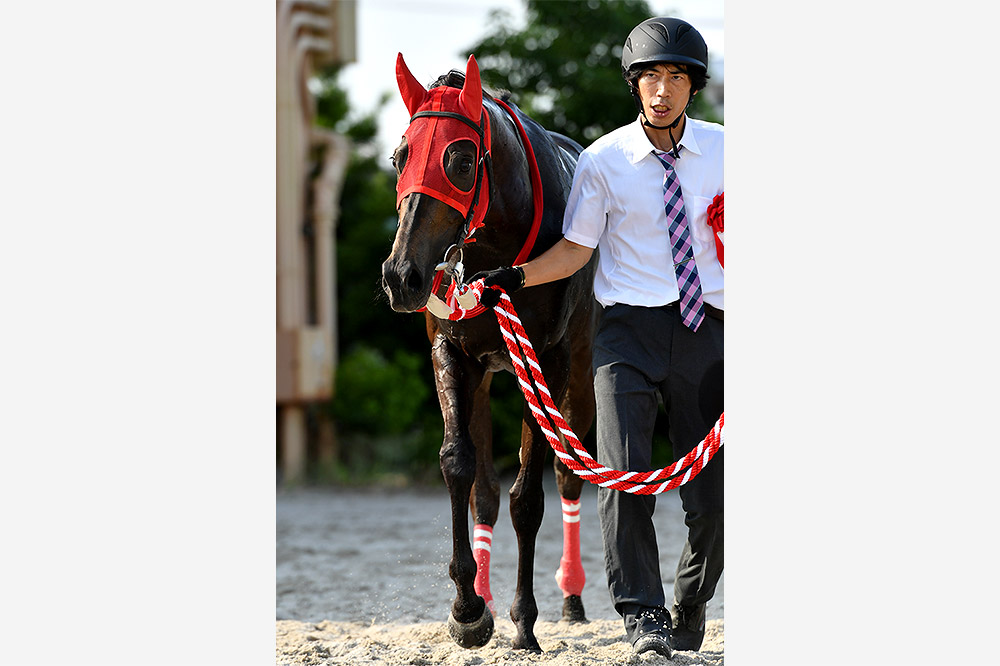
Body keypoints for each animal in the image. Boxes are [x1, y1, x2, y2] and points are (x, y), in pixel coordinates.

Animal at [381, 53, 599, 652]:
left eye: (458, 159)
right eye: (399, 157)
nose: (401, 275)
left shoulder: (544, 362)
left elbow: (530, 497)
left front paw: (525, 620)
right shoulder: (452, 352)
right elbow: (460, 465)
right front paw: (468, 610)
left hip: (581, 371)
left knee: (568, 476)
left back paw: (571, 599)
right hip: (483, 376)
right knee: (484, 490)